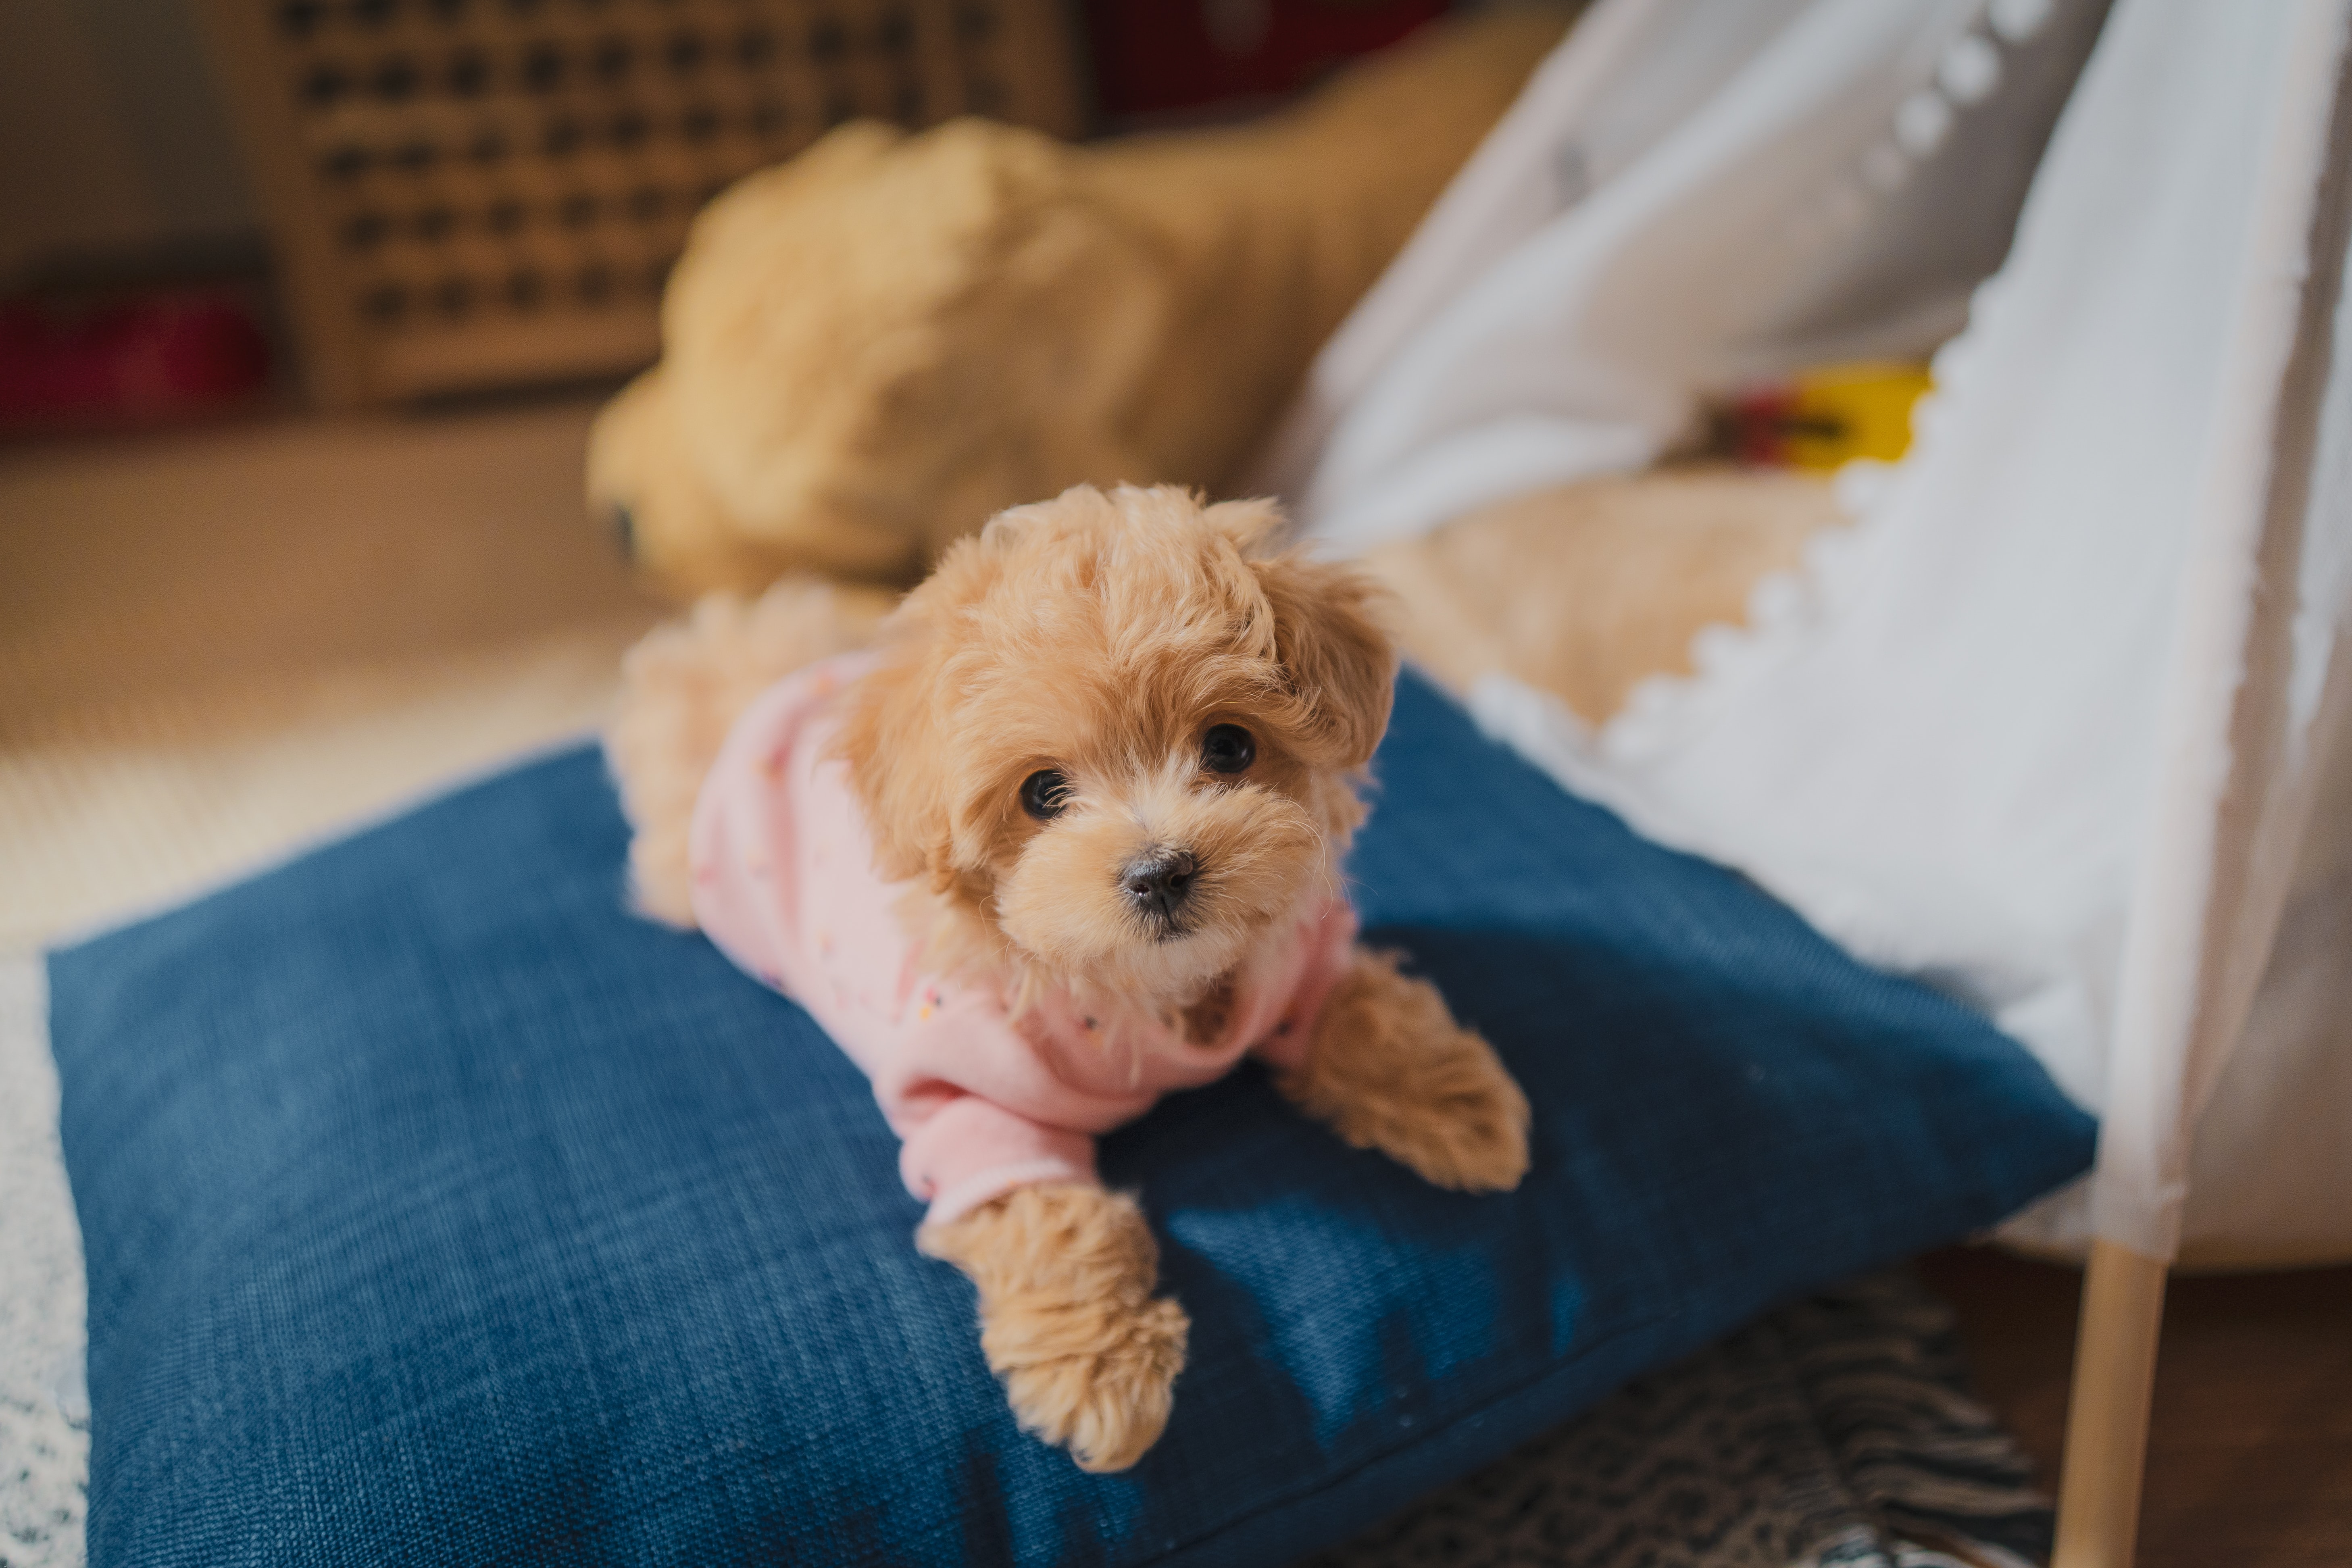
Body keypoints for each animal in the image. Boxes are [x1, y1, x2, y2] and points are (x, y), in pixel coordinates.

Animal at [606, 486, 1524, 1476]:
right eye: (1042, 794)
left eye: (1230, 746)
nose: (1160, 872)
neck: (1155, 992)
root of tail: (760, 690)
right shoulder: (974, 1095)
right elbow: (1048, 1219)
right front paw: (1100, 1373)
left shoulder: (1294, 962)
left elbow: (1357, 1011)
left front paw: (1459, 1102)